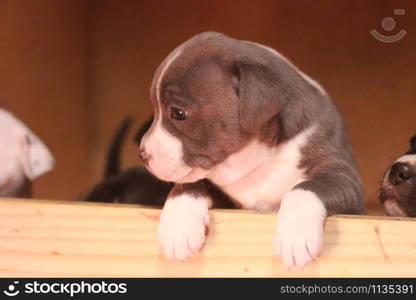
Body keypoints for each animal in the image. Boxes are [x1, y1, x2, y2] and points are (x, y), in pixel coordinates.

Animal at [140, 32, 364, 268]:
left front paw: (295, 236)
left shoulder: (345, 179)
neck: (259, 159)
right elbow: (190, 184)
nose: (143, 154)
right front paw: (177, 228)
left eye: (179, 113)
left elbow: (307, 187)